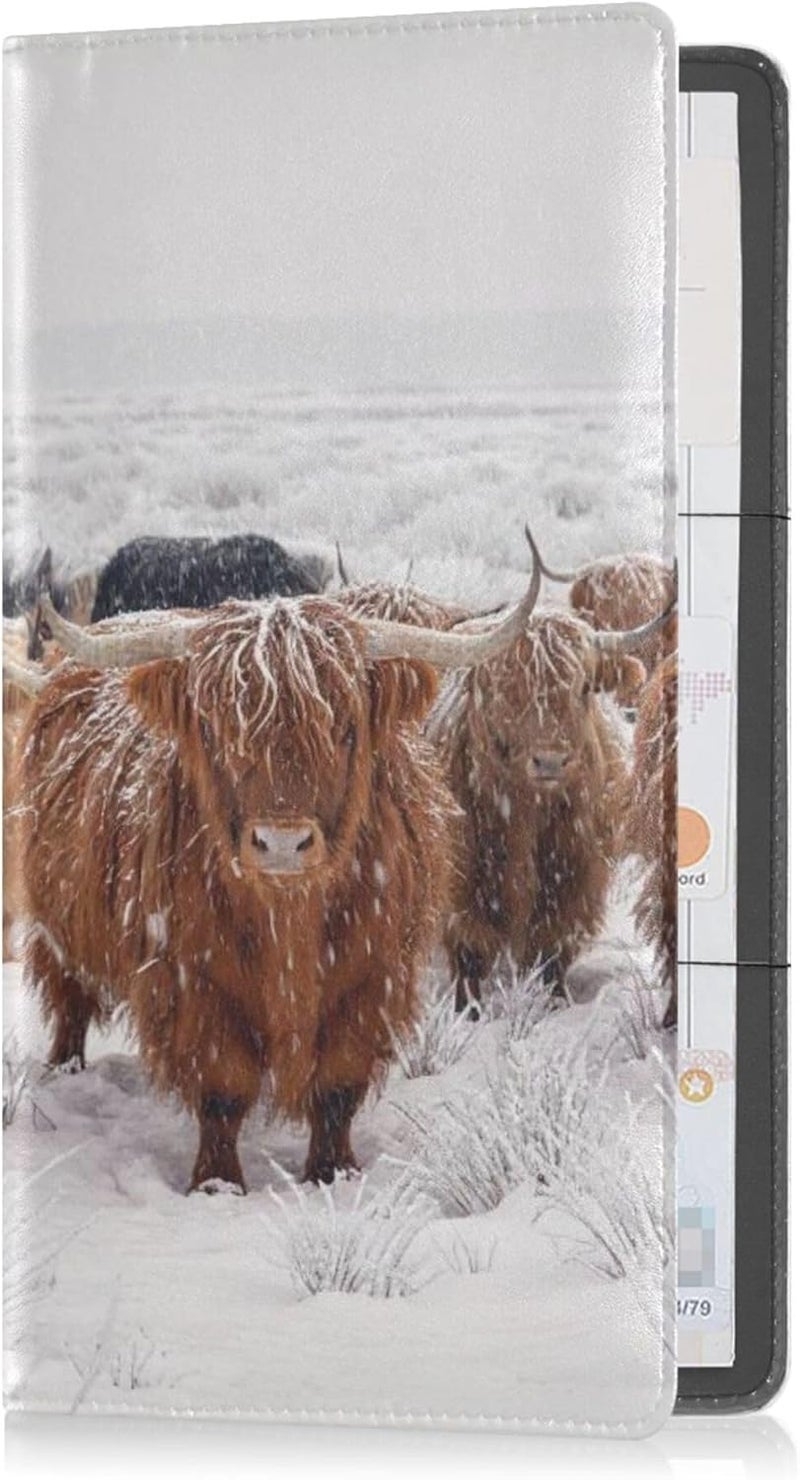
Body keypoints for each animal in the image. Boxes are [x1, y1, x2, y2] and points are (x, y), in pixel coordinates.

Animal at [16, 552, 539, 1193]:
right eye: (215, 729)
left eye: (344, 728)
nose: (282, 843)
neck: (289, 916)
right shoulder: (194, 980)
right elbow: (222, 1086)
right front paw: (217, 1184)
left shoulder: (372, 976)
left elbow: (338, 1083)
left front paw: (334, 1174)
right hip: (57, 925)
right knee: (69, 998)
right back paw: (64, 1069)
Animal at [428, 579, 674, 1015]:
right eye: (504, 688)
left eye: (583, 687)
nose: (550, 760)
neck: (527, 808)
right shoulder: (464, 877)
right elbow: (470, 948)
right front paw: (468, 1012)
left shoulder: (577, 871)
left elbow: (551, 947)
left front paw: (554, 1002)